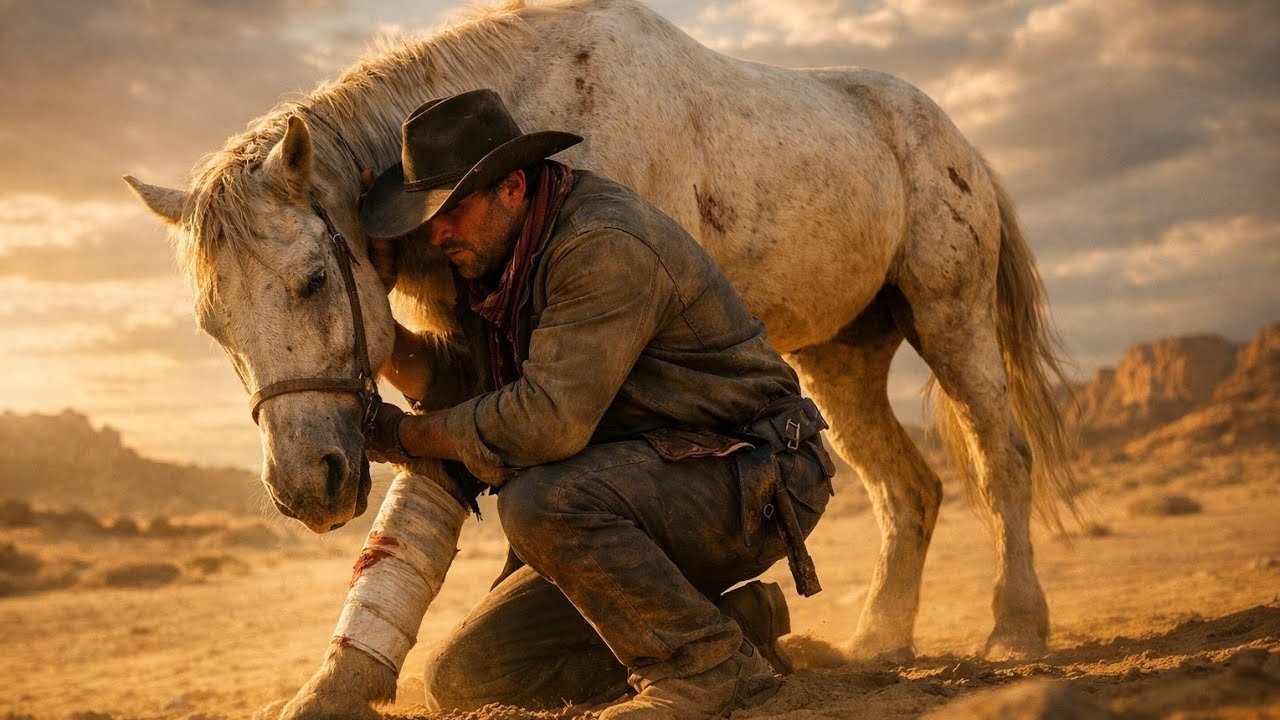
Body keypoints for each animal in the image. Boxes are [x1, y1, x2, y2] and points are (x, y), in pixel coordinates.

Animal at [124, 0, 1077, 663]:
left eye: (315, 279)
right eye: (213, 327)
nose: (306, 488)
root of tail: (951, 133)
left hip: (948, 316)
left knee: (1001, 461)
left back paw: (1016, 626)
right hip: (838, 356)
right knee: (906, 491)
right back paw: (879, 639)